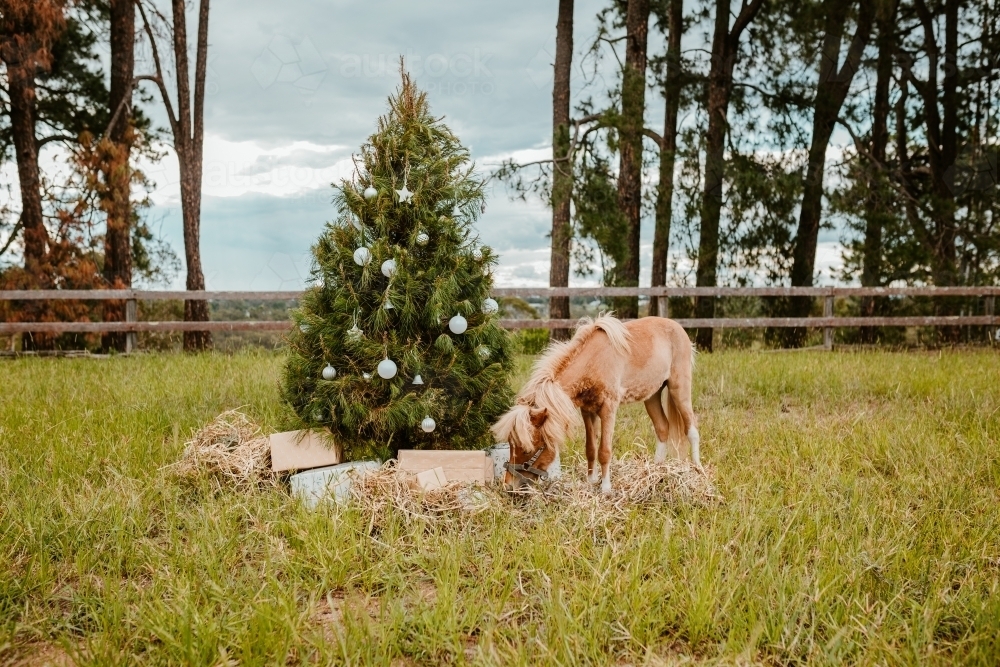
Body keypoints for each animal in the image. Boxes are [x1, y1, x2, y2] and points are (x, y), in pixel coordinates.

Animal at [490, 314, 696, 496]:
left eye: (527, 449)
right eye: (510, 444)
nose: (509, 485)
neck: (594, 361)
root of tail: (677, 327)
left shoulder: (608, 409)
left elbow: (604, 450)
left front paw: (605, 488)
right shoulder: (587, 411)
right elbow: (590, 448)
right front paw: (590, 482)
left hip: (679, 388)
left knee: (691, 428)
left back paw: (697, 469)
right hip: (652, 395)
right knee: (662, 428)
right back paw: (656, 470)